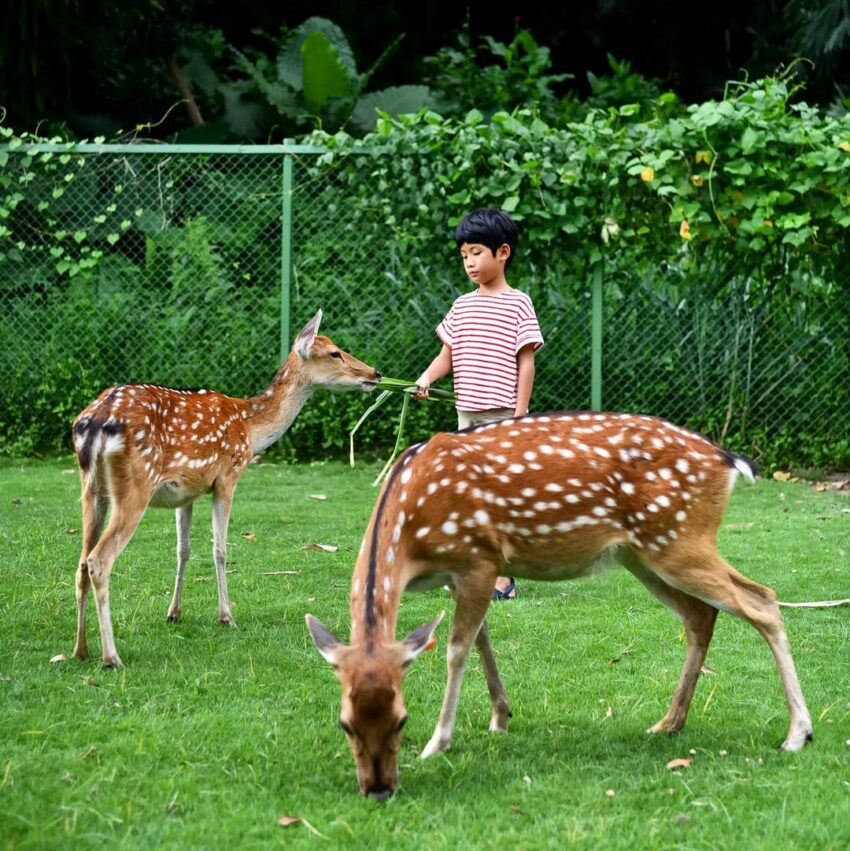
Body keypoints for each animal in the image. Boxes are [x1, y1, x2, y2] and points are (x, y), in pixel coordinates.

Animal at [73, 310, 378, 668]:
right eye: (335, 353)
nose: (375, 373)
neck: (251, 430)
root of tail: (94, 423)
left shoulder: (185, 491)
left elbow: (183, 549)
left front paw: (174, 613)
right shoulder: (228, 476)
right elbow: (220, 549)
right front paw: (226, 616)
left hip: (92, 490)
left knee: (82, 560)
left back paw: (80, 649)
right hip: (134, 486)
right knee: (99, 560)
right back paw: (111, 657)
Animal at [308, 412, 812, 800]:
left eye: (401, 720)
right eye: (345, 724)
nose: (378, 789)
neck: (409, 528)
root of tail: (729, 463)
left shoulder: (479, 558)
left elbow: (456, 650)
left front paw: (439, 742)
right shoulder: (459, 575)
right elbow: (482, 640)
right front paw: (501, 716)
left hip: (678, 539)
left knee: (763, 601)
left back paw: (797, 734)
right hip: (644, 554)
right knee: (701, 615)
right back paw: (668, 723)